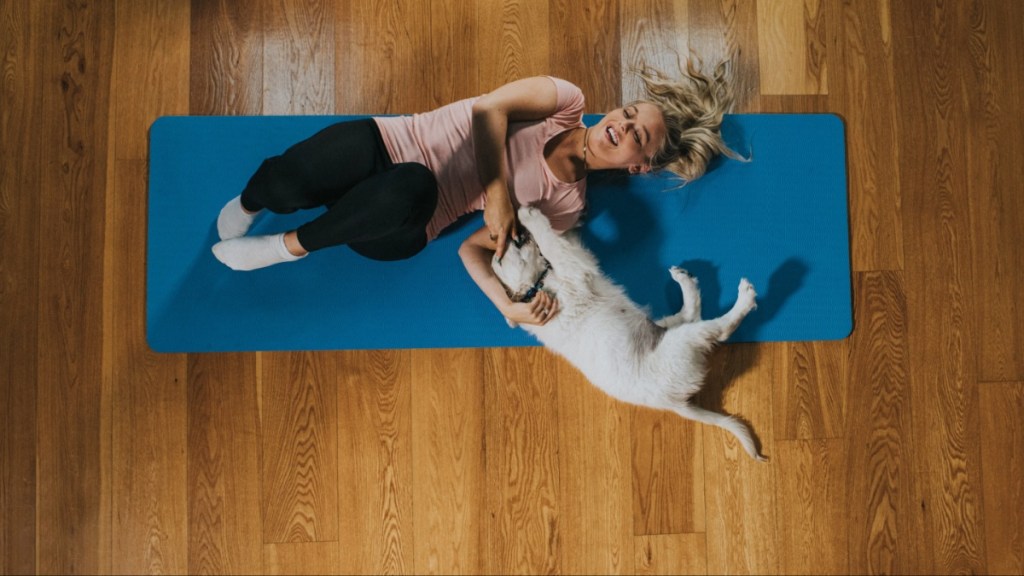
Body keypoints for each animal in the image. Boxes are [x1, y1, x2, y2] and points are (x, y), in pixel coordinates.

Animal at [491, 206, 765, 461]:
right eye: (501, 259)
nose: (510, 235)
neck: (537, 287)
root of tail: (673, 404)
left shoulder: (575, 262)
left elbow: (559, 241)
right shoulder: (573, 268)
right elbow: (551, 243)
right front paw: (529, 215)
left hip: (661, 327)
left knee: (690, 313)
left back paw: (685, 280)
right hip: (682, 344)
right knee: (719, 328)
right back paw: (744, 298)